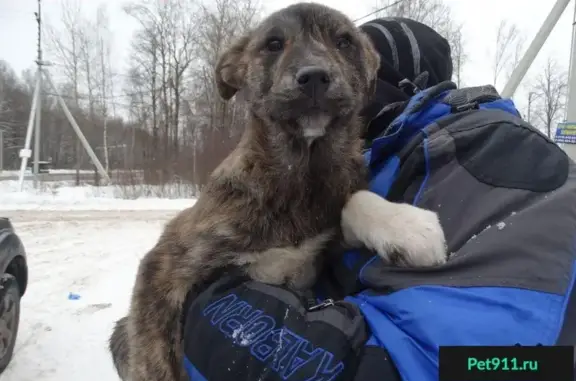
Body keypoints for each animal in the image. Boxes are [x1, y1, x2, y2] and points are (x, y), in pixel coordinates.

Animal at [110, 3, 448, 380]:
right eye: (273, 44)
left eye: (344, 42)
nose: (313, 76)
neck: (298, 177)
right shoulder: (164, 264)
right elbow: (153, 358)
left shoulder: (320, 248)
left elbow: (355, 201)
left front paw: (407, 226)